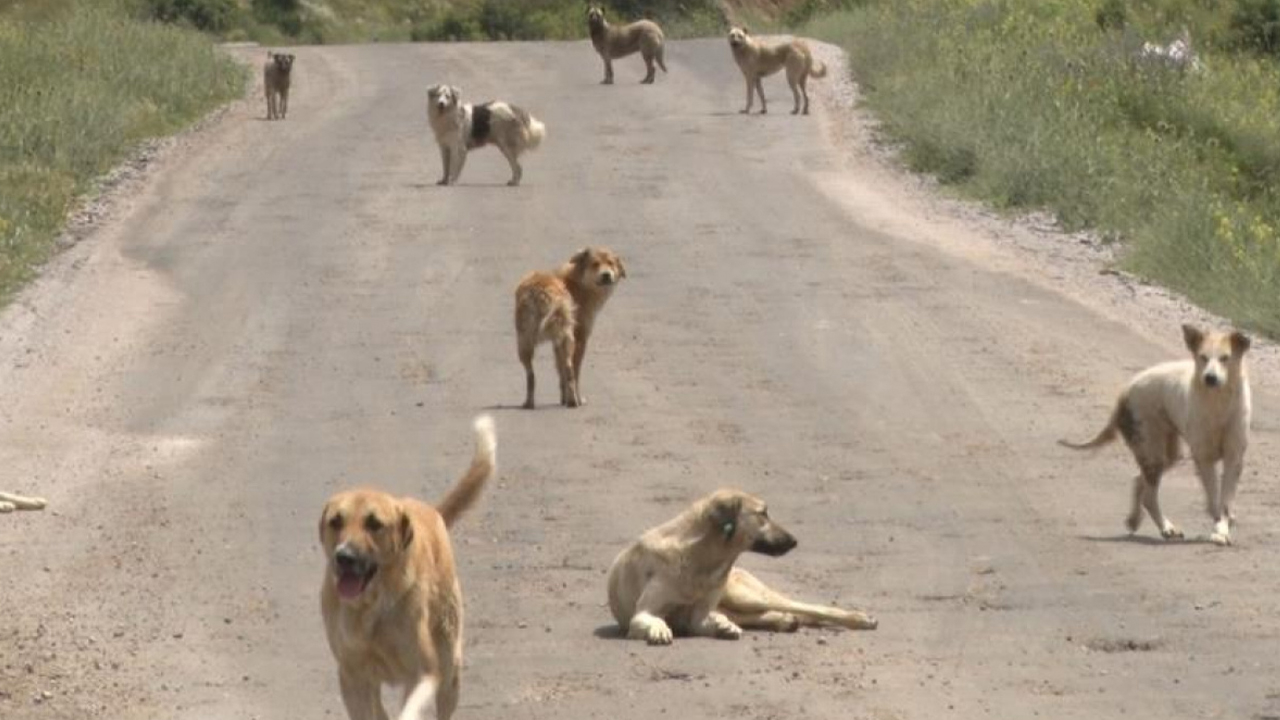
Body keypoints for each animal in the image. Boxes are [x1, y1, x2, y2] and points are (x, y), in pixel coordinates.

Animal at [318, 415, 494, 717]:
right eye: (336, 521)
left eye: (374, 523)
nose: (344, 557)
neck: (371, 606)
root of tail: (432, 511)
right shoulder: (353, 678)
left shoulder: (424, 673)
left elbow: (409, 709)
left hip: (450, 667)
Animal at [514, 244, 624, 407]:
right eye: (595, 264)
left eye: (611, 263)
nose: (606, 275)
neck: (579, 282)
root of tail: (540, 292)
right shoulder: (580, 338)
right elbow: (574, 372)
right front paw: (576, 398)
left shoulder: (556, 342)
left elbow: (561, 374)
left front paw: (562, 398)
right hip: (567, 339)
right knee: (570, 369)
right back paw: (573, 401)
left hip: (524, 341)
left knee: (531, 376)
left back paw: (529, 403)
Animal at [604, 486, 875, 645]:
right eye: (763, 514)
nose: (794, 541)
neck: (700, 559)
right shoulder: (644, 613)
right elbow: (652, 619)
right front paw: (660, 628)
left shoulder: (699, 615)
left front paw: (721, 626)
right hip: (741, 603)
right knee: (774, 614)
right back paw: (782, 621)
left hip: (745, 596)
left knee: (809, 608)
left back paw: (859, 618)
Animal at [1059, 322, 1249, 540]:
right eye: (1203, 357)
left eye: (1225, 358)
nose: (1210, 378)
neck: (1219, 402)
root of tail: (1126, 390)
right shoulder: (1204, 458)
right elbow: (1215, 500)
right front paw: (1219, 528)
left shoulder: (1234, 457)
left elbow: (1224, 503)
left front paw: (1222, 528)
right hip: (1154, 454)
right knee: (1149, 497)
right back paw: (1166, 527)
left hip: (1169, 455)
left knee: (1139, 480)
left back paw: (1135, 519)